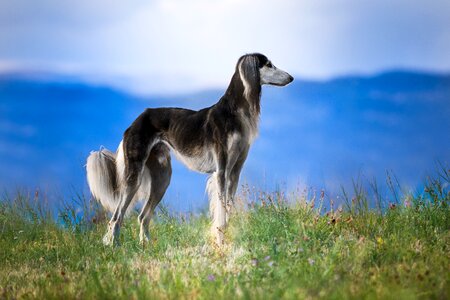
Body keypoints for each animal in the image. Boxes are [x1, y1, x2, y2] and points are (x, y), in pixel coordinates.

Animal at [86, 53, 294, 246]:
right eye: (269, 64)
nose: (291, 77)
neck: (233, 112)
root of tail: (136, 121)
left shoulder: (235, 172)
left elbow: (229, 208)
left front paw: (226, 239)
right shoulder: (222, 171)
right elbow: (221, 211)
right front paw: (220, 241)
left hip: (162, 178)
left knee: (143, 216)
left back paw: (145, 246)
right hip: (134, 176)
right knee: (116, 218)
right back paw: (115, 247)